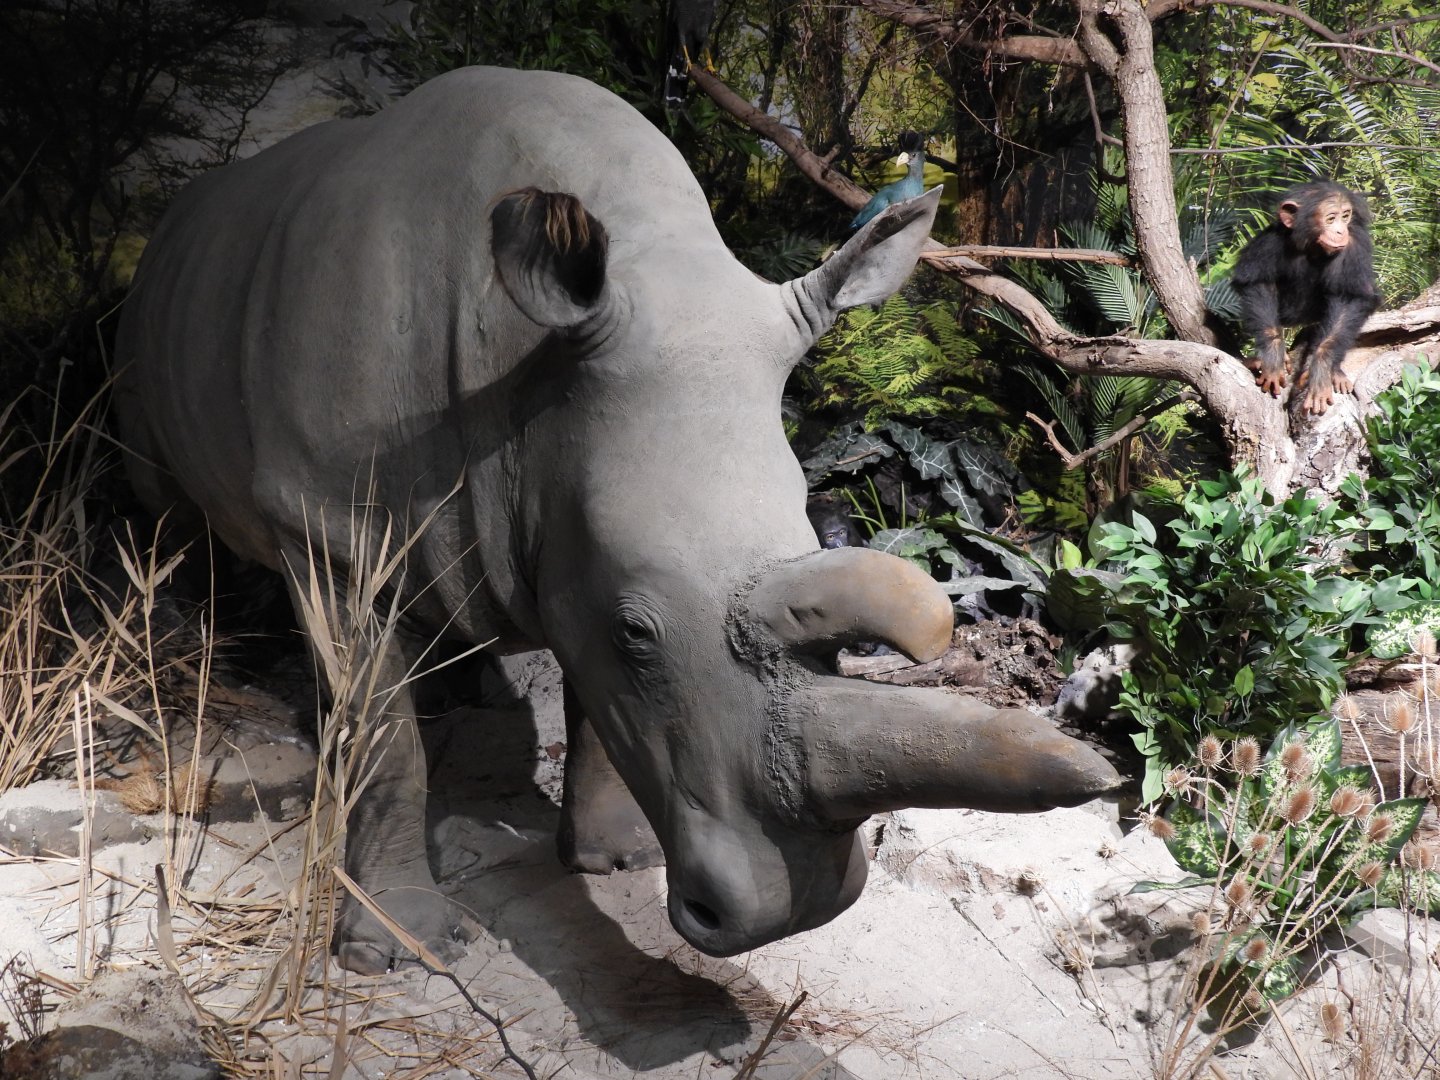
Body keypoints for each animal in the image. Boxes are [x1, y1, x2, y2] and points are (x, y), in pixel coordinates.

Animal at [115, 66, 1121, 975]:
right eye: (639, 630)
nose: (795, 909)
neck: (516, 371)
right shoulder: (327, 530)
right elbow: (389, 744)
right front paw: (394, 952)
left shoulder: (578, 507)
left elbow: (595, 704)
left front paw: (615, 859)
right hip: (151, 319)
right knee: (161, 511)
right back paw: (176, 665)